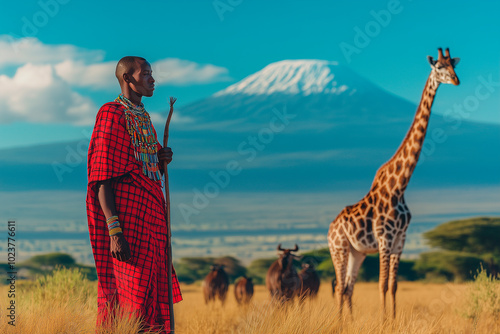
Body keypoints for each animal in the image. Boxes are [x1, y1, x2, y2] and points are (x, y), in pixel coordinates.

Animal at [328, 47, 460, 318]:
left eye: (454, 65)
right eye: (439, 66)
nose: (456, 80)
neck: (400, 186)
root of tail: (329, 228)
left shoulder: (401, 240)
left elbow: (394, 285)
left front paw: (393, 320)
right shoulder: (384, 239)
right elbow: (381, 284)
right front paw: (383, 321)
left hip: (357, 252)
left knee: (348, 288)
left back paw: (348, 323)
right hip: (339, 248)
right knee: (338, 287)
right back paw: (337, 323)